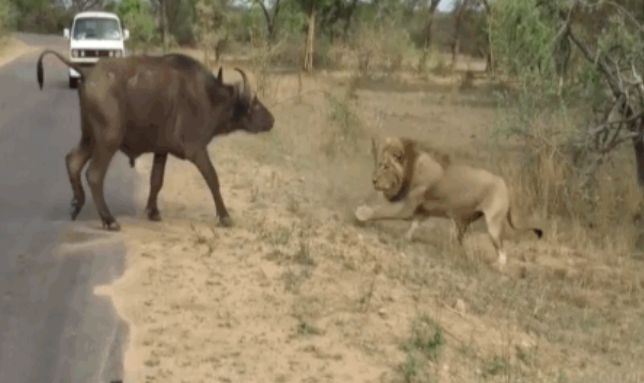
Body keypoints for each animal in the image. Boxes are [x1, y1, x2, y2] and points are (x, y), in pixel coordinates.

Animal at [37, 51, 274, 231]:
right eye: (254, 103)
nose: (271, 119)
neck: (209, 97)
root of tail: (87, 72)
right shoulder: (196, 150)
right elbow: (212, 178)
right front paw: (225, 216)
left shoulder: (162, 150)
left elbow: (156, 180)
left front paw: (153, 211)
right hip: (108, 140)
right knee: (94, 175)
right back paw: (109, 220)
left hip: (89, 138)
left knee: (73, 161)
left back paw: (76, 204)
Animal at [354, 136, 540, 268]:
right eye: (380, 164)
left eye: (385, 167)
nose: (373, 180)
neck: (411, 167)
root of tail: (505, 186)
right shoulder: (422, 211)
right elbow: (415, 224)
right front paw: (406, 237)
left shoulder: (406, 207)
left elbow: (382, 210)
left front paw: (361, 213)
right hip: (463, 222)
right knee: (460, 240)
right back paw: (457, 253)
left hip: (493, 222)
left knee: (501, 248)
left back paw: (498, 265)